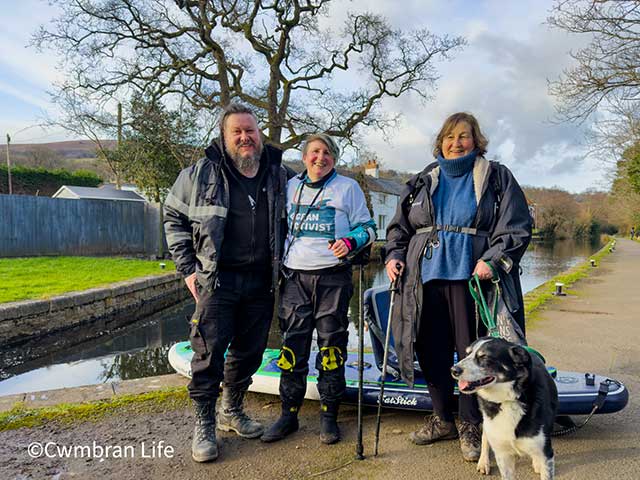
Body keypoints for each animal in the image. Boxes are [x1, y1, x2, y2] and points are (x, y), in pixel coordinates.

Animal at [450, 338, 560, 480]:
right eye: (467, 353)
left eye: (484, 356)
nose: (453, 370)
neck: (507, 400)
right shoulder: (503, 455)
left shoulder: (546, 453)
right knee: (485, 437)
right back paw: (483, 462)